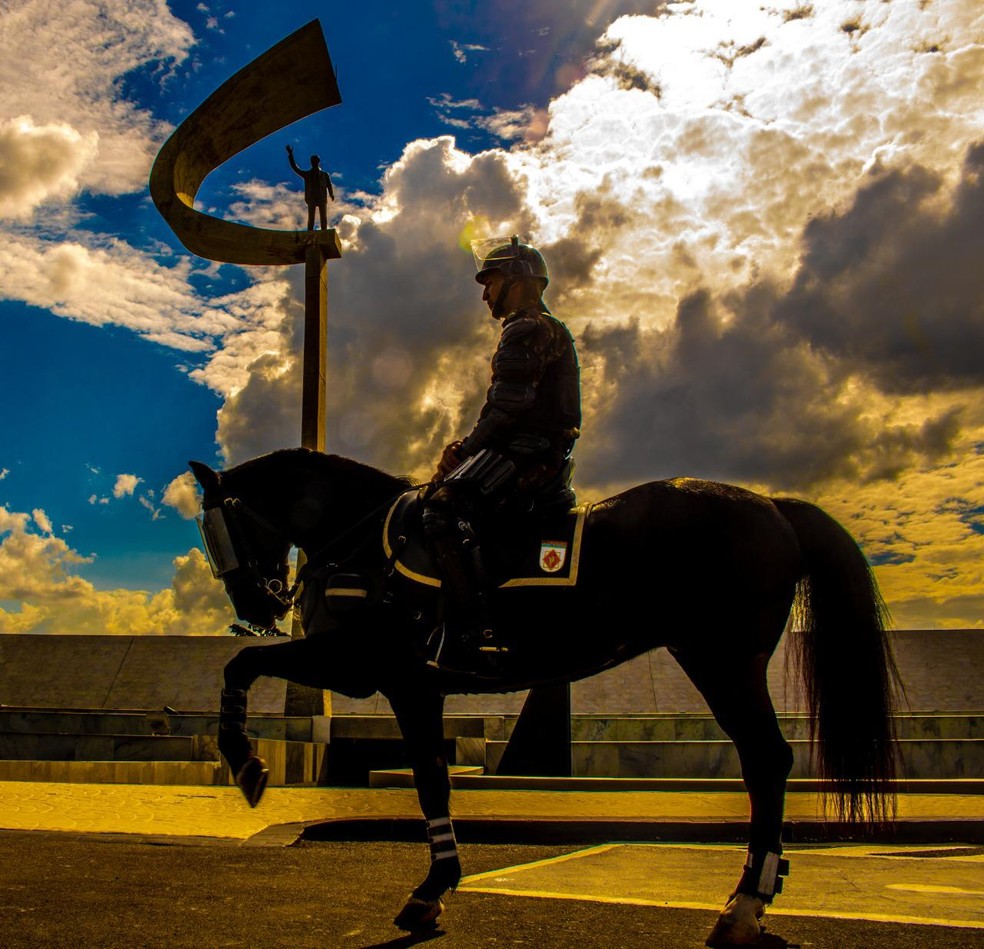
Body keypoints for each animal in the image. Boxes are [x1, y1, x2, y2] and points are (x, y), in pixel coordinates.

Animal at [188, 448, 904, 944]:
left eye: (216, 531)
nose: (256, 606)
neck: (361, 541)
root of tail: (775, 507)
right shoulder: (413, 686)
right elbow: (432, 779)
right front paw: (435, 887)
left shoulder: (366, 664)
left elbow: (242, 666)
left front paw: (246, 764)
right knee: (766, 762)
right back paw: (762, 887)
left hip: (722, 662)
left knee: (767, 761)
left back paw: (746, 903)